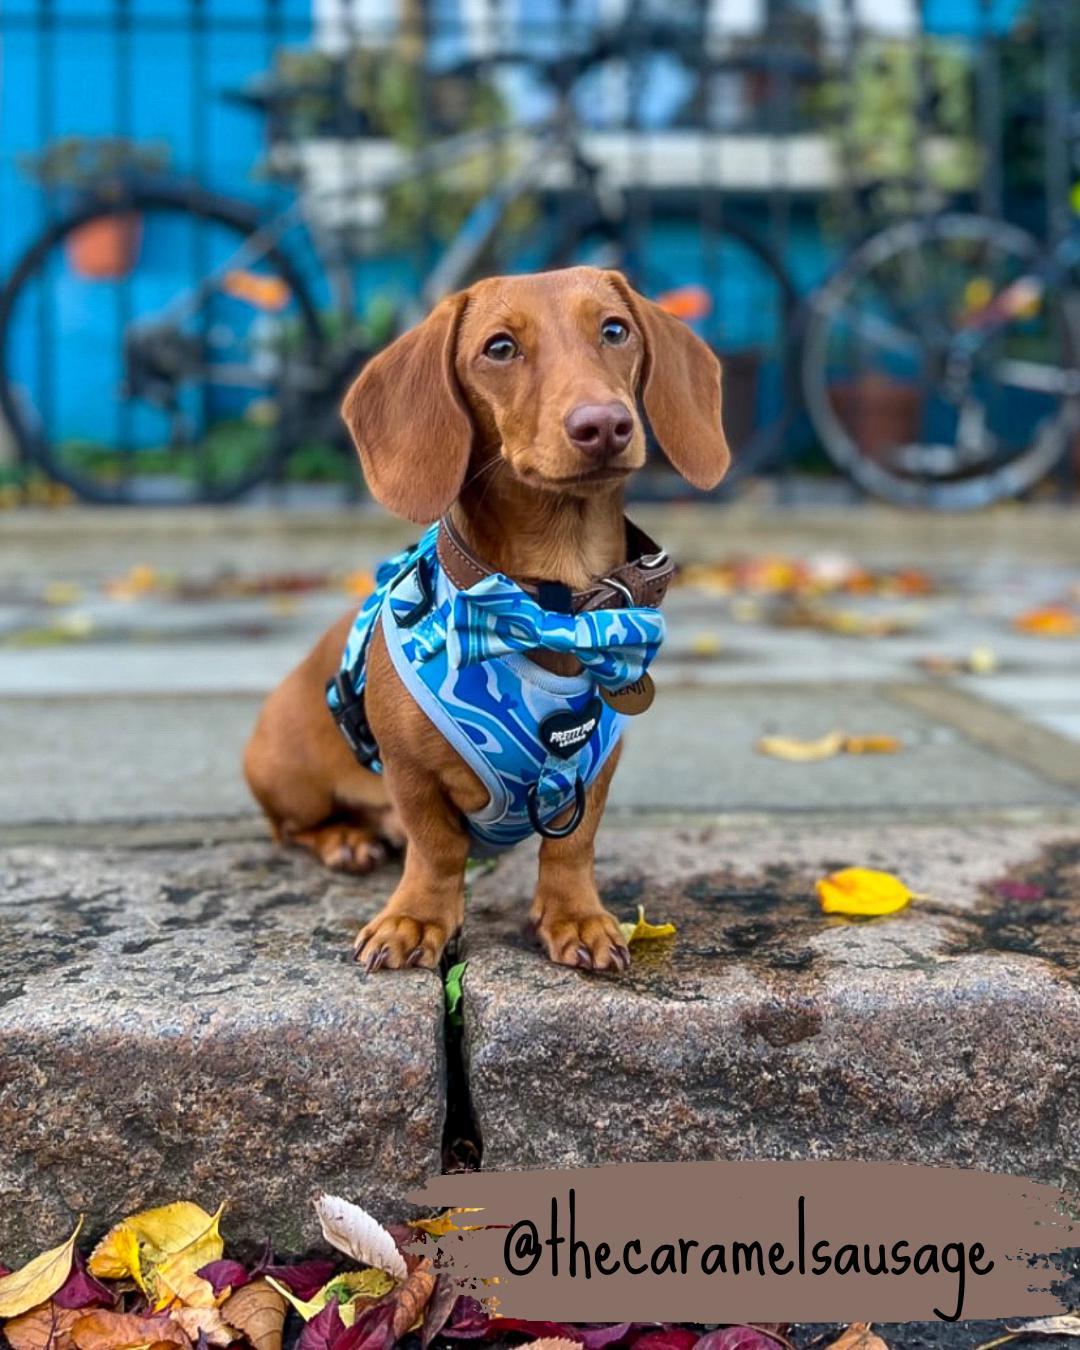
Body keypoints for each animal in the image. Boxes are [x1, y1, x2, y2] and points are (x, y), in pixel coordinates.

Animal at [244, 268, 729, 977]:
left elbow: (573, 845)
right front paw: (417, 918)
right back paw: (345, 839)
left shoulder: (594, 770)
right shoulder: (410, 773)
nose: (604, 424)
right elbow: (435, 845)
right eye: (499, 348)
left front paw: (575, 916)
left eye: (615, 330)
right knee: (291, 828)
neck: (552, 610)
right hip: (288, 775)